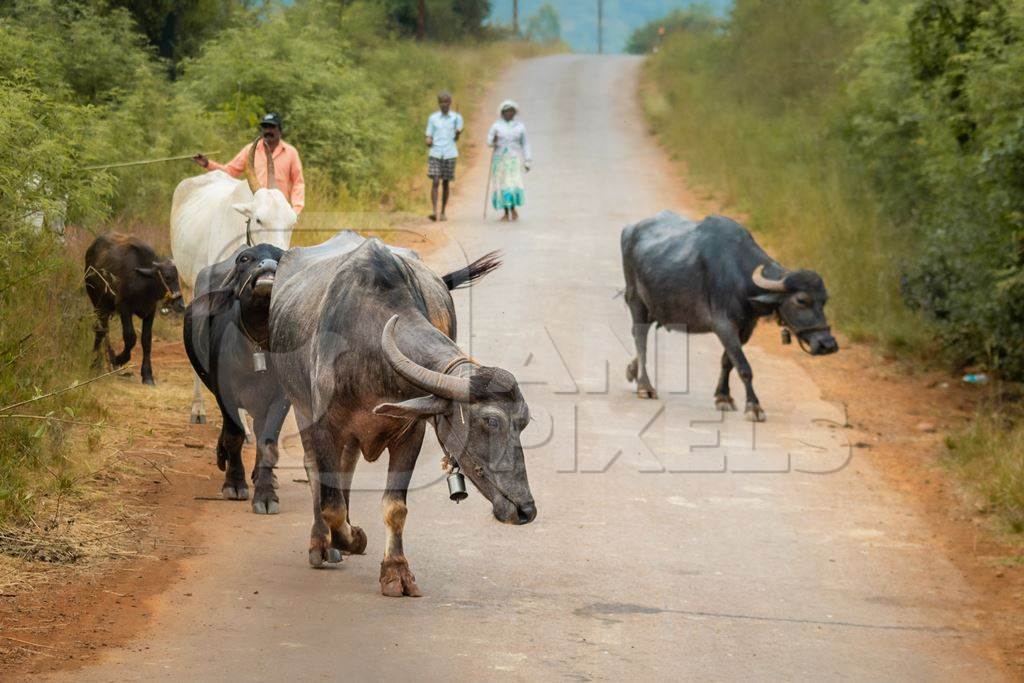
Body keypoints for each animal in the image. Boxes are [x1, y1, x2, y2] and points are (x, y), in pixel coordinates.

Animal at [83, 233, 184, 385]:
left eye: (178, 277)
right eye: (167, 277)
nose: (180, 304)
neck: (143, 283)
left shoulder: (150, 311)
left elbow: (146, 340)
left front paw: (147, 375)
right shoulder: (124, 309)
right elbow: (130, 337)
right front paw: (118, 359)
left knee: (104, 329)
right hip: (98, 302)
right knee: (101, 329)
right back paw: (97, 363)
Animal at [182, 244, 288, 511]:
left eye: (282, 257)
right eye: (245, 259)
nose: (268, 265)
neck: (258, 346)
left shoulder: (282, 396)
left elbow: (268, 440)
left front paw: (266, 494)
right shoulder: (224, 392)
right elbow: (234, 436)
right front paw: (235, 483)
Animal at [268, 232, 536, 593]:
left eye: (523, 422)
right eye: (490, 420)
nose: (526, 510)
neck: (364, 344)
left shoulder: (411, 431)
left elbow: (395, 506)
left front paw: (395, 570)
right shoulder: (324, 426)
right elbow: (330, 503)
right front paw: (349, 539)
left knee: (347, 465)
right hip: (301, 407)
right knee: (317, 472)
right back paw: (321, 544)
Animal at [618, 210, 835, 419]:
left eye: (824, 300)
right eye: (801, 301)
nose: (828, 344)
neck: (739, 276)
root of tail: (629, 230)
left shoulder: (746, 329)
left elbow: (727, 361)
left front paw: (723, 397)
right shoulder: (723, 325)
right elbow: (743, 367)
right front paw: (754, 407)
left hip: (657, 306)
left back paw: (632, 370)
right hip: (636, 299)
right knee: (640, 338)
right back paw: (645, 387)